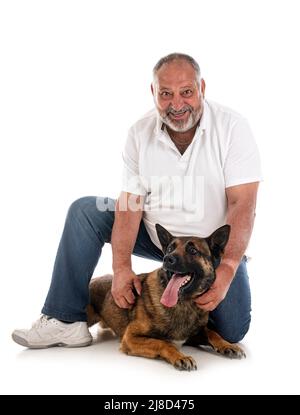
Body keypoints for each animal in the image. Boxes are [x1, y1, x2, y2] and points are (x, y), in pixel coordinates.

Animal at [85, 224, 245, 370]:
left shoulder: (193, 335)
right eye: (169, 249)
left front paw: (227, 345)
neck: (184, 303)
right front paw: (180, 356)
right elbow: (163, 342)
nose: (167, 259)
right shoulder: (131, 338)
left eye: (193, 250)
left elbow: (212, 333)